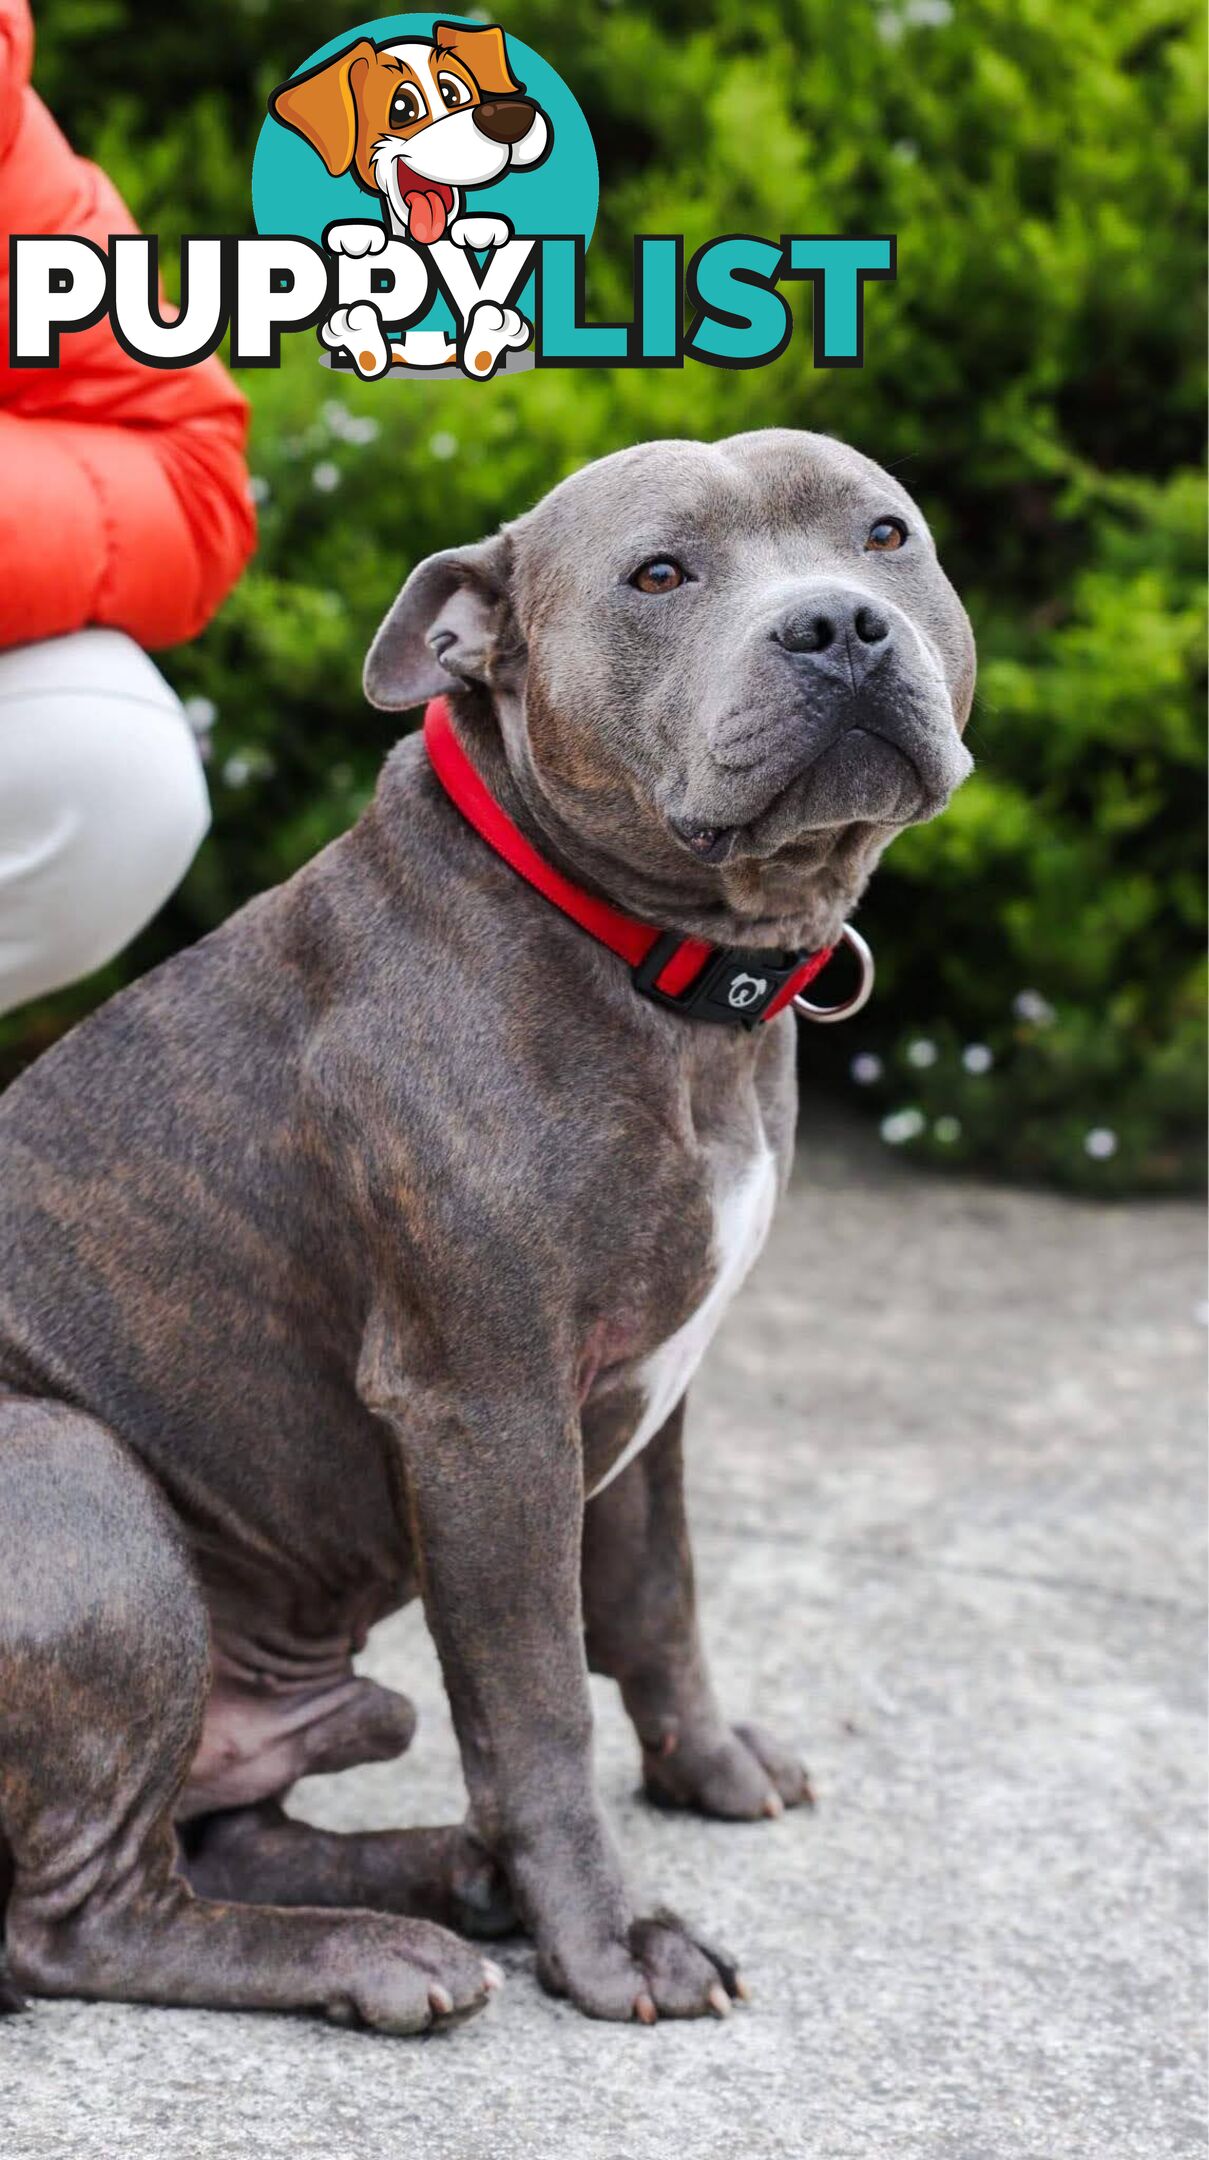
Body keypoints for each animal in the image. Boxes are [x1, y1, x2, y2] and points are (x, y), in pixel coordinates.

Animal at [0, 429, 971, 2030]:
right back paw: (381, 1950)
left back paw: (443, 1877)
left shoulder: (650, 1391)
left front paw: (706, 1771)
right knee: (80, 1921)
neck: (661, 967)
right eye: (659, 574)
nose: (836, 625)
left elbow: (657, 1604)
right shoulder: (489, 1407)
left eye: (885, 535)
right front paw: (607, 1942)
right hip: (73, 1481)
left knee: (228, 1830)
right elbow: (532, 1704)